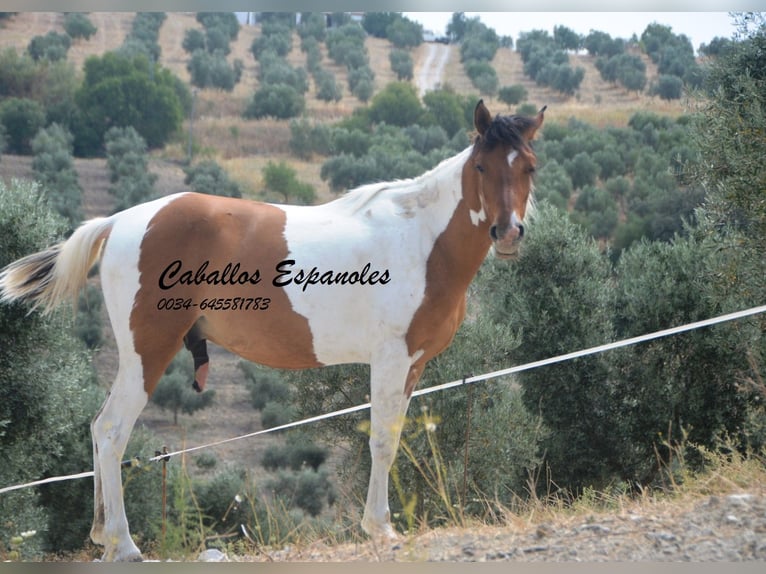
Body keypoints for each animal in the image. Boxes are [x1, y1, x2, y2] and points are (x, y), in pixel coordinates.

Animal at [0, 100, 544, 561]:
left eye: (529, 167)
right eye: (480, 167)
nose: (508, 233)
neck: (421, 240)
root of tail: (119, 223)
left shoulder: (413, 365)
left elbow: (392, 436)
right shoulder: (391, 359)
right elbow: (383, 441)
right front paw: (380, 528)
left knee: (98, 430)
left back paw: (102, 535)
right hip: (147, 353)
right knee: (112, 432)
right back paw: (124, 545)